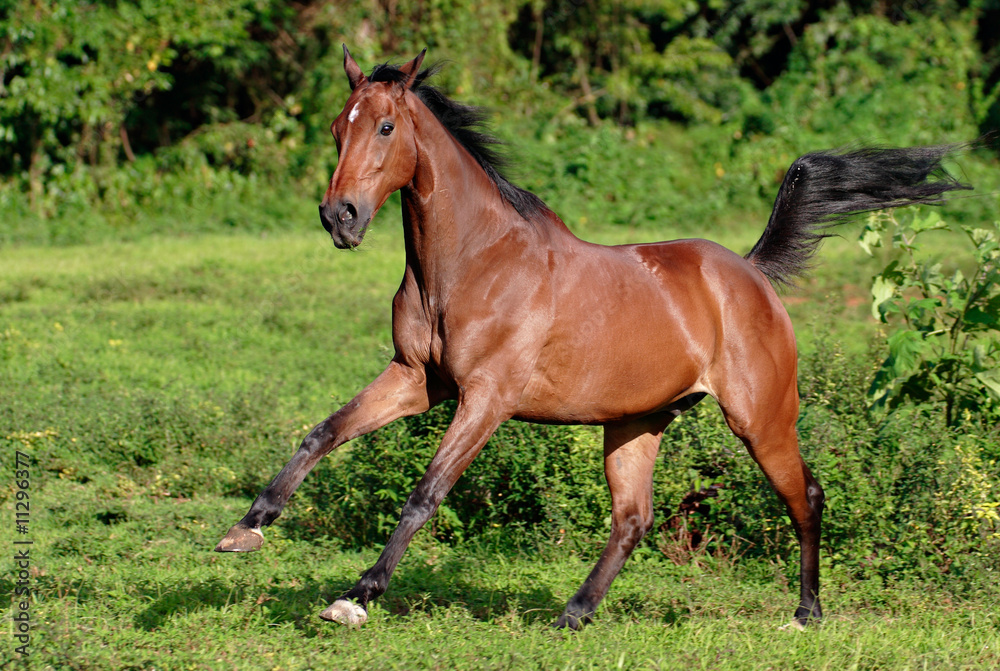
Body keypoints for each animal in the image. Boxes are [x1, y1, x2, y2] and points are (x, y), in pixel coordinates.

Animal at [215, 46, 972, 629]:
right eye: (334, 129)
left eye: (384, 125)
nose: (339, 217)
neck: (472, 263)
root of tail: (751, 273)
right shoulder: (417, 380)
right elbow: (323, 432)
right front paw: (247, 526)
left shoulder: (485, 398)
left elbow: (426, 492)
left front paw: (357, 596)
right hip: (636, 422)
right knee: (634, 517)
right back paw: (574, 613)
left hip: (760, 417)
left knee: (804, 495)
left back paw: (806, 614)